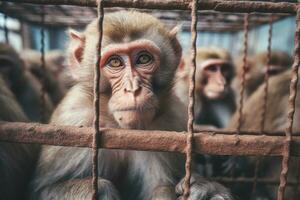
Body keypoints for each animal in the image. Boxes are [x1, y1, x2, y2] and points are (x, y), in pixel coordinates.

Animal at [29, 10, 233, 200]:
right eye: (115, 62)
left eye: (143, 59)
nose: (133, 88)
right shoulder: (73, 120)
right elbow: (42, 189)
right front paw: (99, 190)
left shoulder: (172, 121)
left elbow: (161, 188)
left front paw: (206, 189)